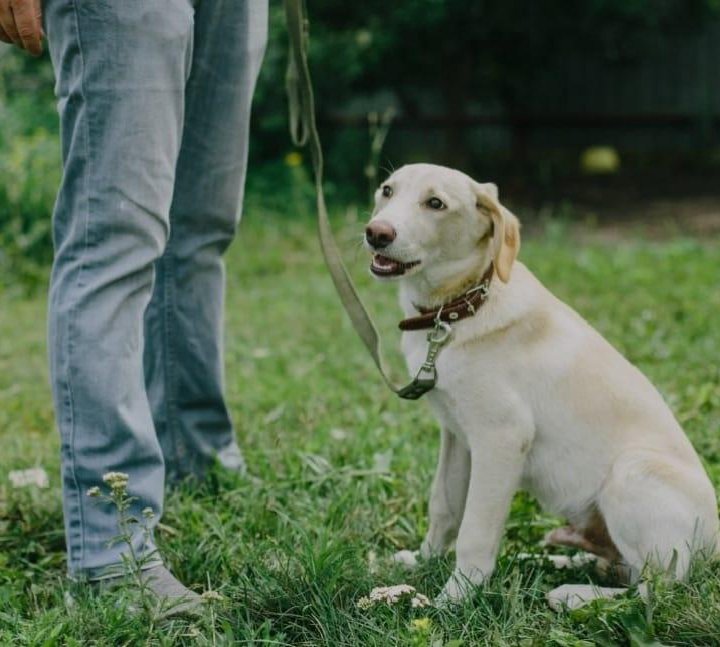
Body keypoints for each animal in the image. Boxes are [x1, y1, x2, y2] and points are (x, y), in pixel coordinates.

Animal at [366, 165, 720, 604]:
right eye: (387, 191)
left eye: (436, 203)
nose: (376, 233)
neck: (460, 309)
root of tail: (714, 551)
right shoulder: (456, 435)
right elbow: (444, 506)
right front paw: (423, 560)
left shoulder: (502, 437)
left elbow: (475, 530)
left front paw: (455, 597)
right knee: (622, 569)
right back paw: (555, 560)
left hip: (631, 472)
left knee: (656, 588)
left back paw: (574, 595)